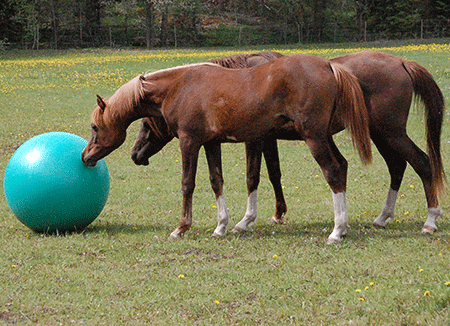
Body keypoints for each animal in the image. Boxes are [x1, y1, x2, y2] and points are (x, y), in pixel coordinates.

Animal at [82, 53, 370, 243]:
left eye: (95, 127)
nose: (85, 156)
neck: (180, 86)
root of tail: (329, 65)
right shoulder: (211, 143)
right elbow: (216, 181)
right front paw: (221, 226)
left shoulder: (189, 141)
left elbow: (188, 183)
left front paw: (181, 228)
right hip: (323, 136)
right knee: (341, 166)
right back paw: (342, 227)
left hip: (314, 137)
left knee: (332, 171)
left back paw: (337, 231)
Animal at [131, 50, 446, 239]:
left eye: (147, 124)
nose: (134, 154)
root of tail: (402, 62)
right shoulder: (266, 139)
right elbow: (271, 174)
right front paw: (273, 214)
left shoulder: (257, 139)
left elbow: (254, 176)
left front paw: (248, 220)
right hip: (381, 135)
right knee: (397, 166)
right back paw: (383, 217)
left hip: (387, 133)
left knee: (420, 162)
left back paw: (429, 220)